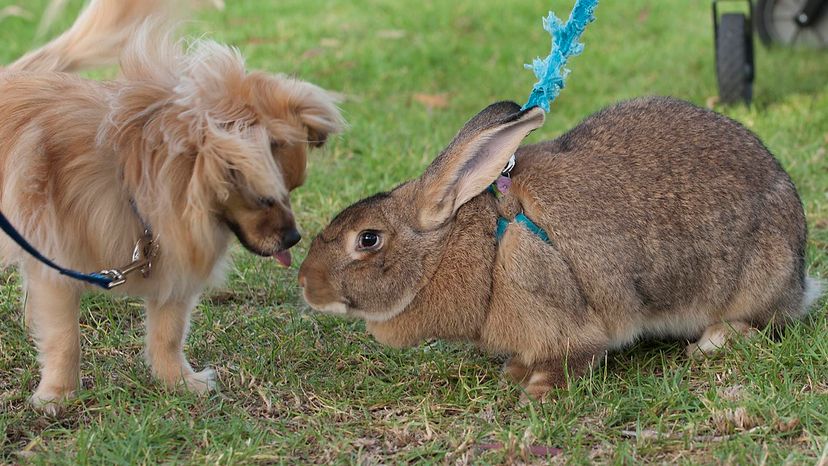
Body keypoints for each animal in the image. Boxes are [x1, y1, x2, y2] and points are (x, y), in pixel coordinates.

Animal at [0, 0, 342, 410]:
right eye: (265, 197)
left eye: (293, 189)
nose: (294, 238)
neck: (133, 179)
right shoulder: (54, 267)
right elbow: (65, 338)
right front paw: (59, 395)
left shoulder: (173, 263)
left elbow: (168, 332)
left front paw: (178, 382)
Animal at [298, 96, 820, 398]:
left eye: (368, 239)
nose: (305, 284)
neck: (481, 247)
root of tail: (799, 276)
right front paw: (514, 371)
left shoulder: (558, 312)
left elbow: (574, 357)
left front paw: (537, 391)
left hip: (756, 280)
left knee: (764, 323)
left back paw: (714, 341)